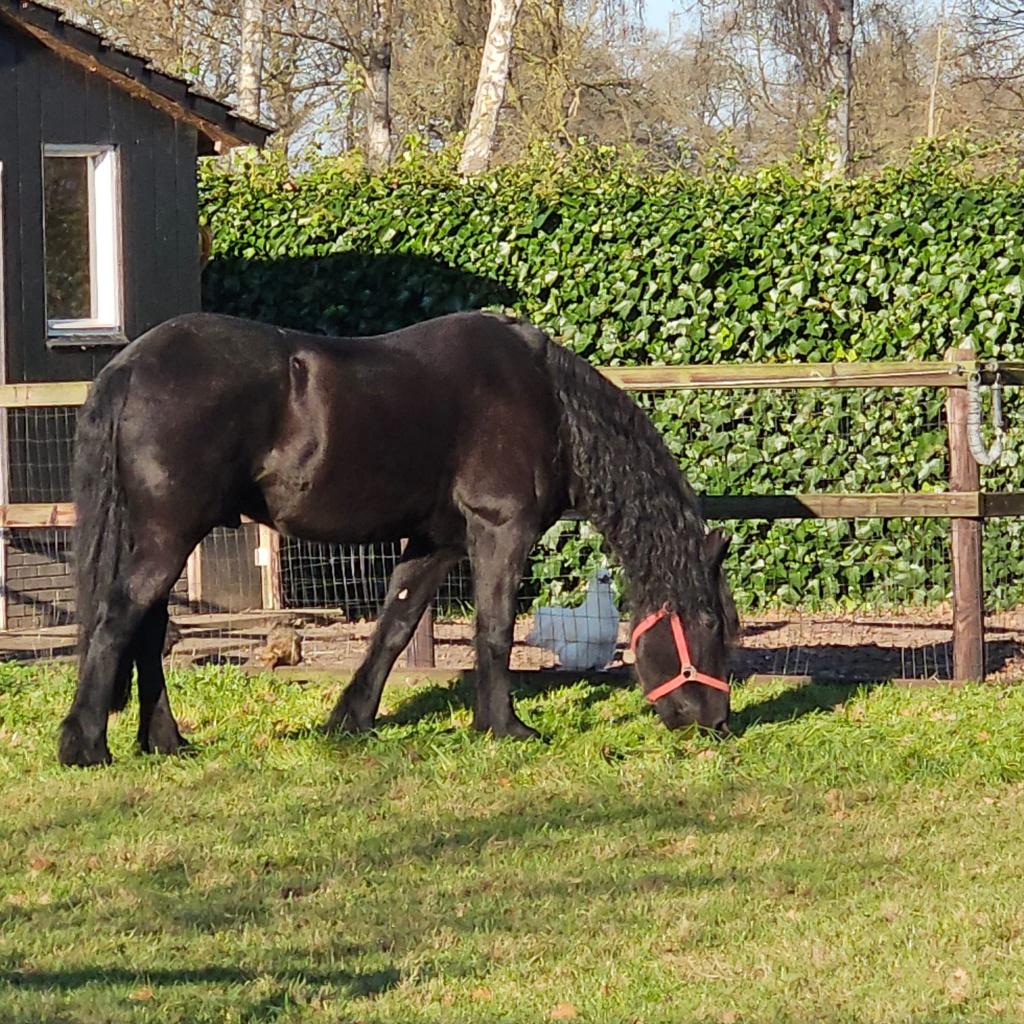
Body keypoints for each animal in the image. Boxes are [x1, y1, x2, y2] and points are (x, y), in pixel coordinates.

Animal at [58, 311, 738, 766]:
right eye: (710, 622)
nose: (714, 722)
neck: (548, 401)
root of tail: (129, 365)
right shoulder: (501, 530)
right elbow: (495, 630)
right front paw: (504, 726)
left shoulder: (435, 544)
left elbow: (395, 627)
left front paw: (352, 720)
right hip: (169, 535)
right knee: (120, 619)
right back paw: (85, 745)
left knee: (147, 628)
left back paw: (166, 742)